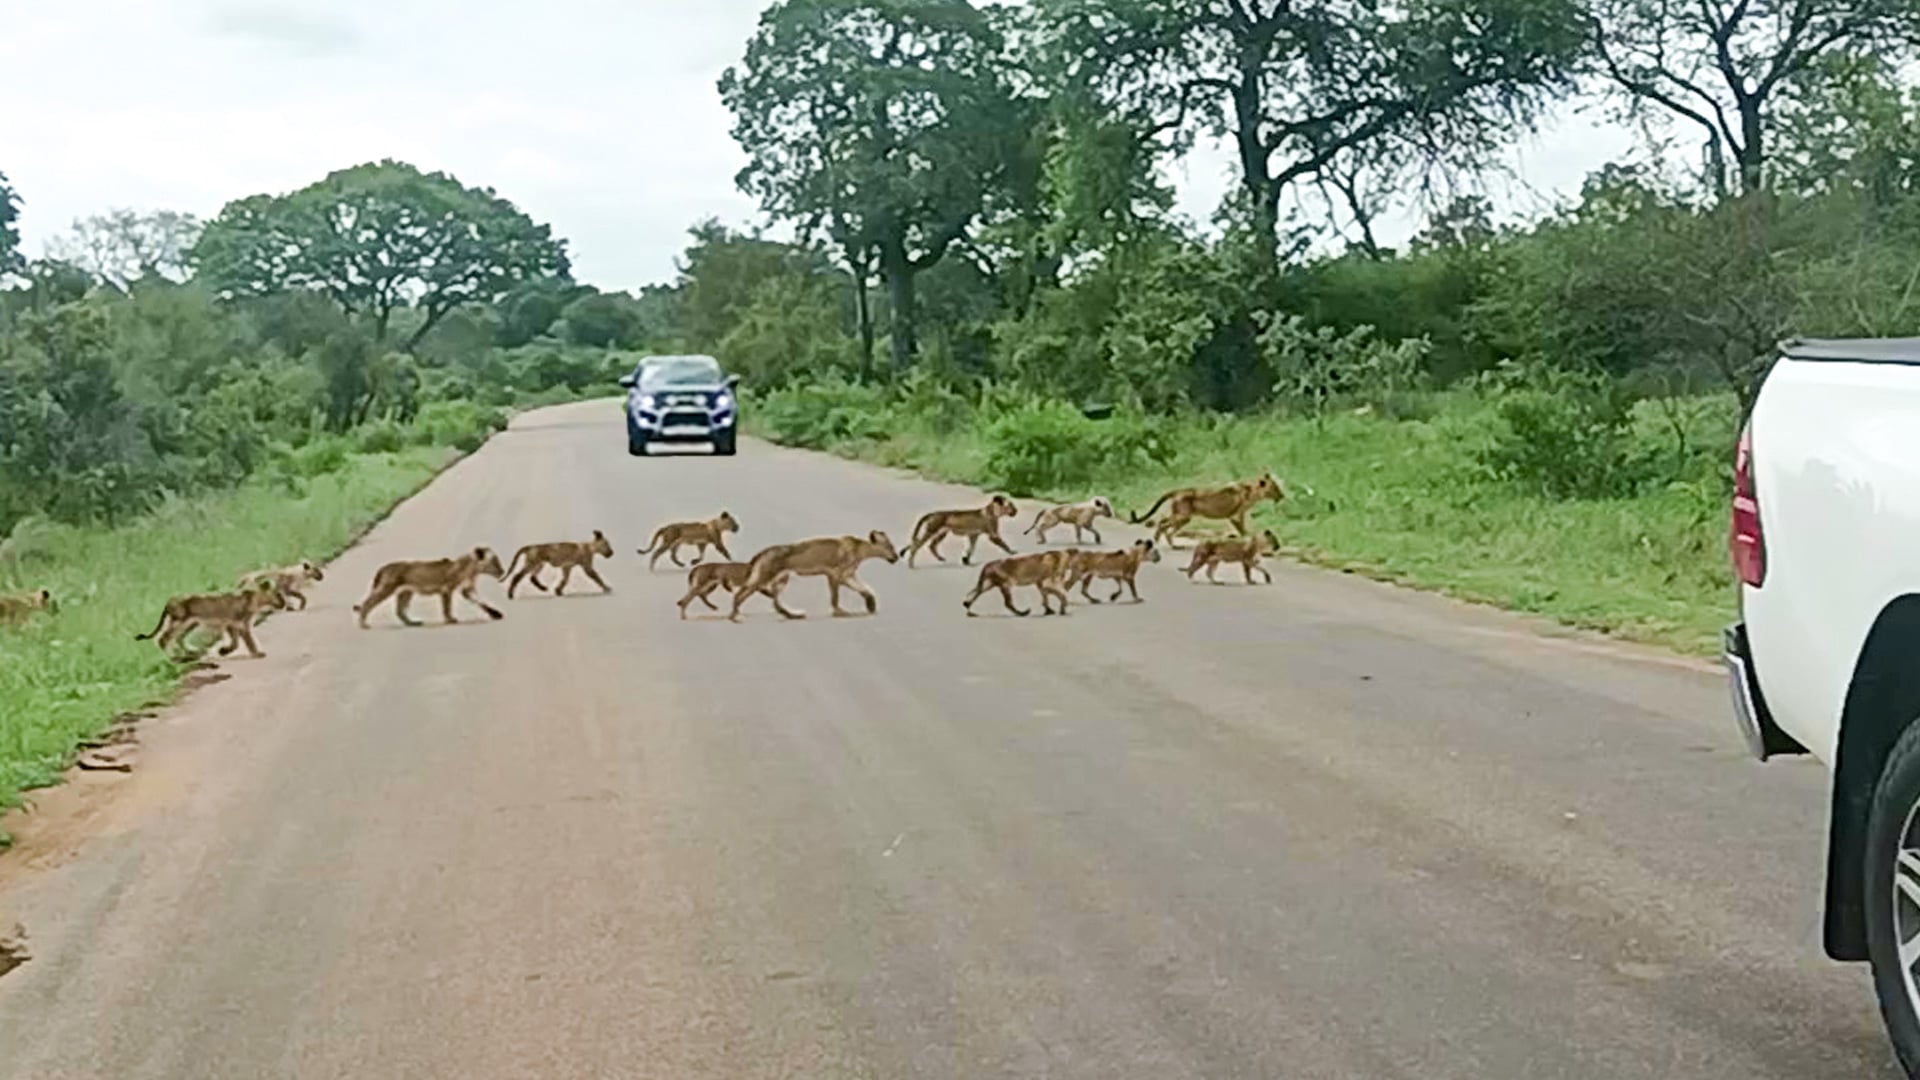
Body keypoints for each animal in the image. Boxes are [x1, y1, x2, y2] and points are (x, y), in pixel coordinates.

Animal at [135, 579, 287, 659]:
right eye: (278, 594)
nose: (285, 603)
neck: (255, 598)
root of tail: (169, 600)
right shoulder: (241, 623)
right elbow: (248, 641)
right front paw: (257, 653)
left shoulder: (231, 623)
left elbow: (235, 642)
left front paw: (224, 651)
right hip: (180, 621)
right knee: (165, 638)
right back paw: (173, 658)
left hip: (191, 623)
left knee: (179, 639)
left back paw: (194, 652)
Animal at [354, 547, 507, 628]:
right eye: (495, 561)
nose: (502, 570)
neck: (472, 569)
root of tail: (384, 567)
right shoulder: (446, 589)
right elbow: (447, 607)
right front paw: (450, 619)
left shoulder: (467, 589)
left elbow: (481, 602)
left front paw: (495, 614)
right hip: (386, 588)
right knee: (367, 603)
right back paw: (363, 624)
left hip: (406, 592)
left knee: (399, 611)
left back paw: (413, 623)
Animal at [728, 530, 900, 622]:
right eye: (890, 547)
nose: (896, 557)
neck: (861, 550)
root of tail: (764, 551)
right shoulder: (836, 574)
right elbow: (835, 597)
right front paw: (839, 612)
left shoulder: (848, 575)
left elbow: (866, 589)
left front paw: (871, 605)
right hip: (764, 576)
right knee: (739, 594)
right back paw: (735, 616)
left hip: (781, 578)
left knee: (775, 602)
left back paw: (792, 615)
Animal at [1131, 472, 1285, 547]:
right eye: (1275, 488)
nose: (1282, 496)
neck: (1253, 492)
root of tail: (1179, 490)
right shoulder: (1235, 515)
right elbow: (1243, 531)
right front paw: (1248, 540)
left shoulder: (1238, 515)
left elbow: (1242, 530)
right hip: (1183, 516)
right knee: (1164, 525)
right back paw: (1167, 543)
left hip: (1180, 515)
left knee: (1163, 522)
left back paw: (1159, 540)